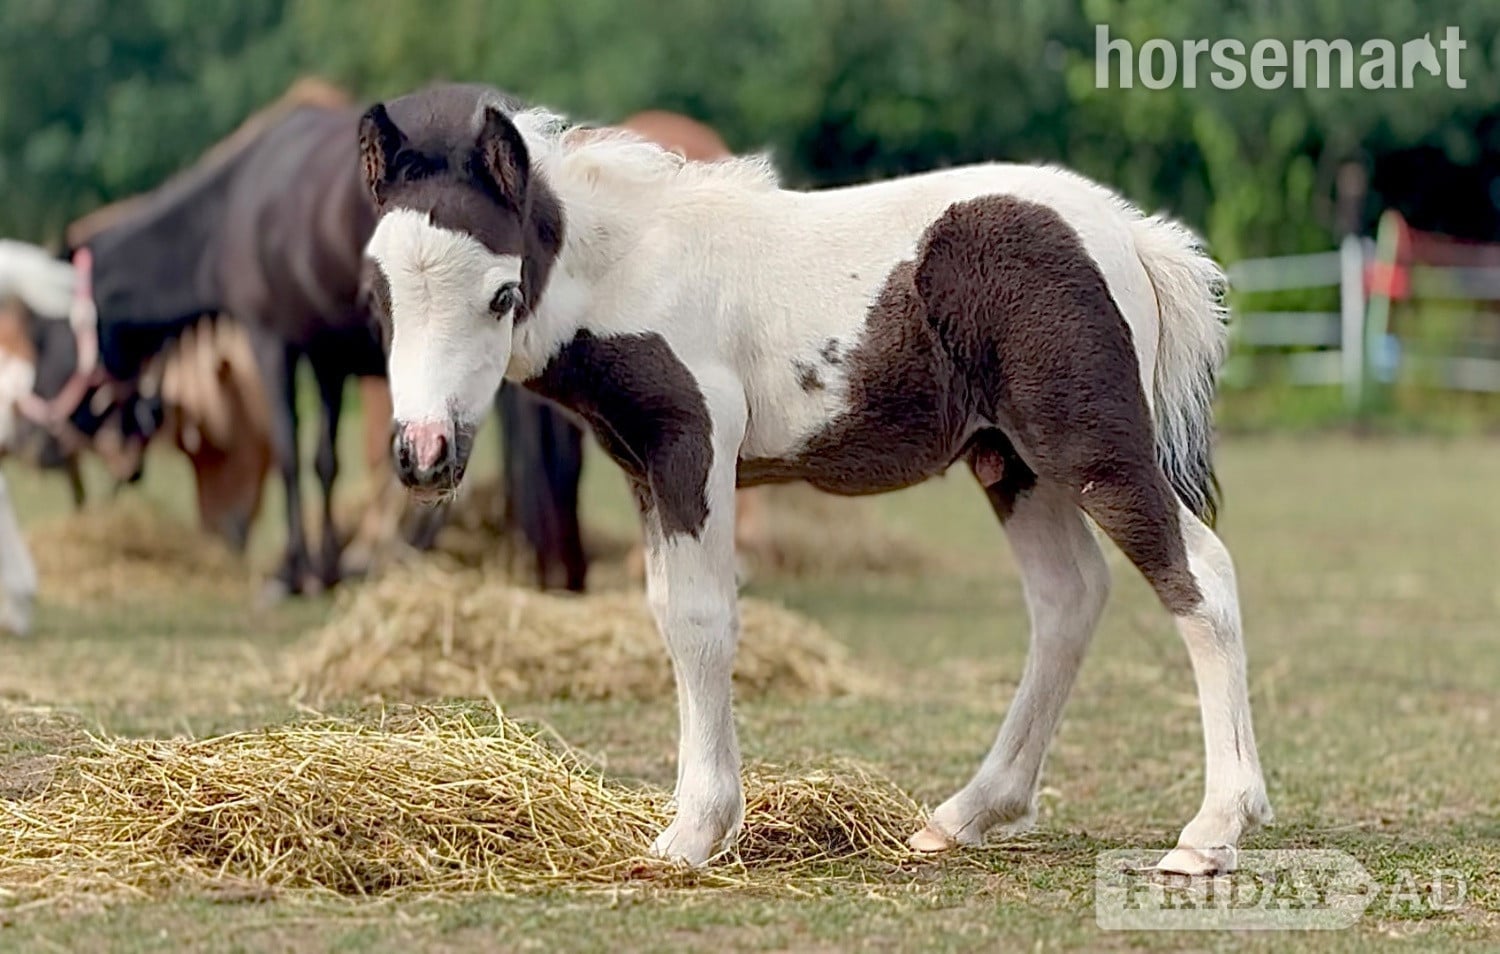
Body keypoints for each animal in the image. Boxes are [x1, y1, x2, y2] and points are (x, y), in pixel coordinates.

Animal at [65, 79, 588, 595]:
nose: (57, 439)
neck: (230, 208)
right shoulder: (327, 356)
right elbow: (325, 459)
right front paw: (326, 565)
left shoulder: (271, 342)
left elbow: (290, 453)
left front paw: (295, 571)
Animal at [358, 85, 1271, 875]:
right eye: (379, 297)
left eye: (501, 293)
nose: (425, 452)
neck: (636, 267)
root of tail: (1132, 237)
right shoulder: (645, 467)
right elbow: (666, 613)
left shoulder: (693, 446)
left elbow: (701, 621)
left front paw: (696, 832)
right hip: (1011, 462)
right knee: (1068, 596)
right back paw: (967, 814)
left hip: (1092, 448)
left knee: (1201, 575)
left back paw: (1212, 830)